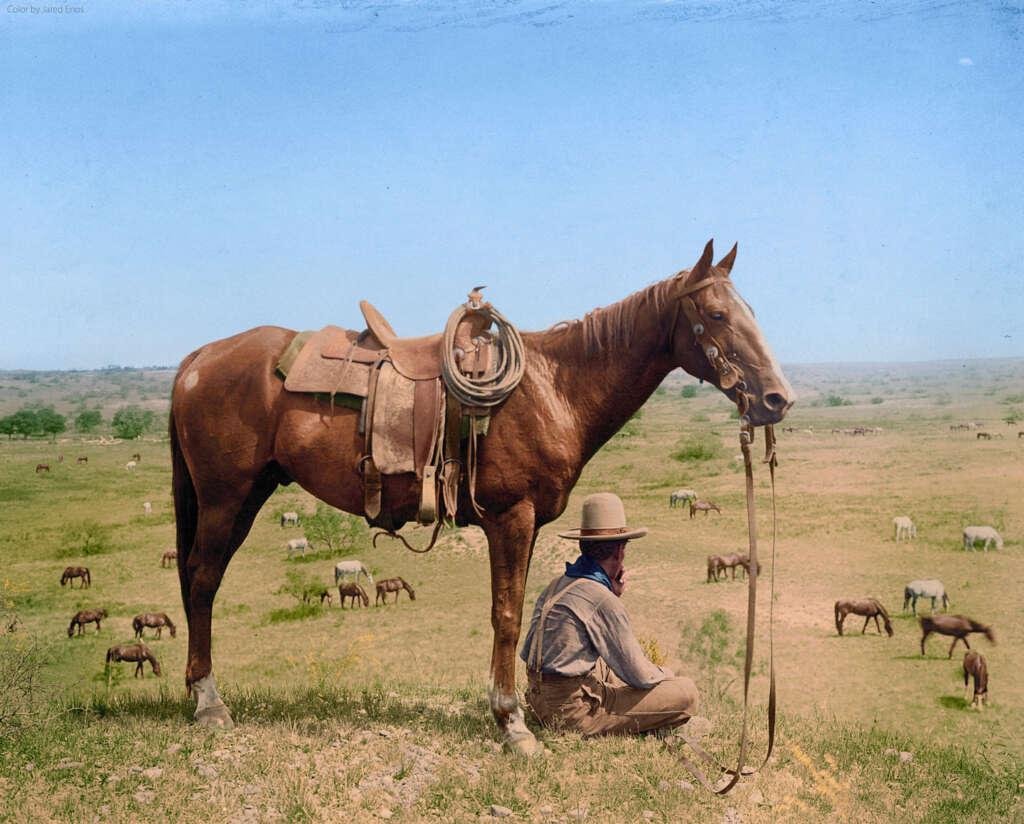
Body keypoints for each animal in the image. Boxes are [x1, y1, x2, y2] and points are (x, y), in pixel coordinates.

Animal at [169, 239, 790, 753]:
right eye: (716, 314)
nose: (776, 398)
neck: (553, 387)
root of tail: (197, 360)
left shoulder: (529, 522)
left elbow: (517, 610)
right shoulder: (511, 517)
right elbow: (507, 614)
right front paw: (512, 723)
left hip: (248, 496)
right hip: (225, 498)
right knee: (202, 582)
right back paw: (209, 704)